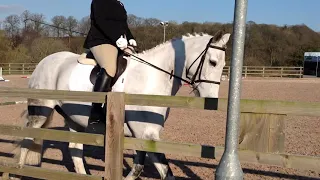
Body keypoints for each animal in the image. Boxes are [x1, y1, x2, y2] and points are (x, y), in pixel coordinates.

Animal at [14, 31, 230, 179]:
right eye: (212, 62)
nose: (212, 99)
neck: (150, 77)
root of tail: (44, 62)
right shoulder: (146, 133)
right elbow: (158, 170)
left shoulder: (144, 135)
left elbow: (144, 168)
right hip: (40, 111)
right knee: (27, 140)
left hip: (74, 118)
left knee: (75, 149)